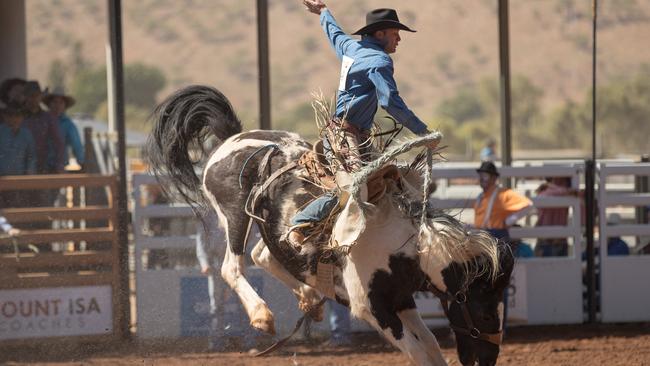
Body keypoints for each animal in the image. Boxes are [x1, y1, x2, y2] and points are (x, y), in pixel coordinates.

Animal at [146, 84, 512, 364]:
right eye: (486, 313)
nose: (489, 357)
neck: (402, 245)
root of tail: (233, 139)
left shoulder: (401, 300)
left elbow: (432, 347)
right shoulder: (374, 308)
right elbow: (420, 353)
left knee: (263, 255)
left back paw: (310, 300)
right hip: (236, 217)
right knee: (231, 267)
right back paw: (262, 316)